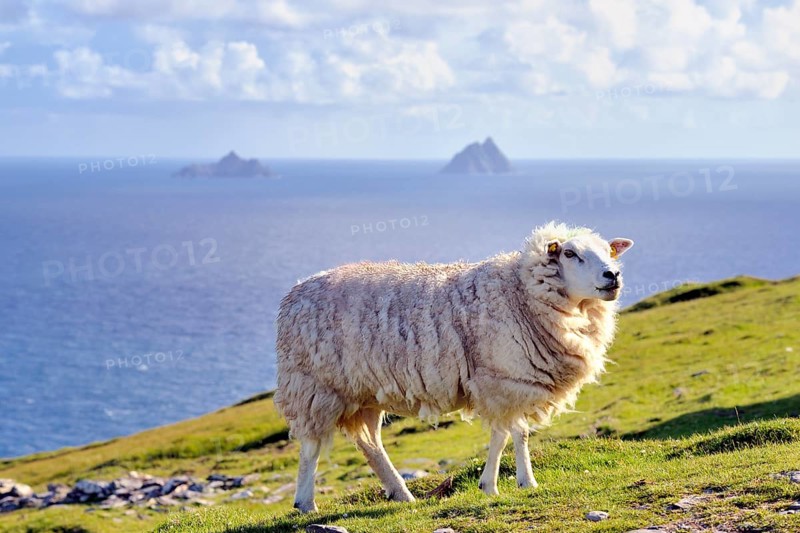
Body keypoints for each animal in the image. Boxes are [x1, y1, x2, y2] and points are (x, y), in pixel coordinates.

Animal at [274, 221, 634, 512]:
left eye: (609, 252)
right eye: (570, 254)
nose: (612, 276)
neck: (520, 292)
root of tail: (296, 291)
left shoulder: (508, 383)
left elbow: (510, 434)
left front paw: (502, 483)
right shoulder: (501, 379)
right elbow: (512, 434)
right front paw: (512, 483)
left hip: (362, 392)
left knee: (370, 444)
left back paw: (401, 493)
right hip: (313, 385)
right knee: (310, 447)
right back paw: (305, 503)